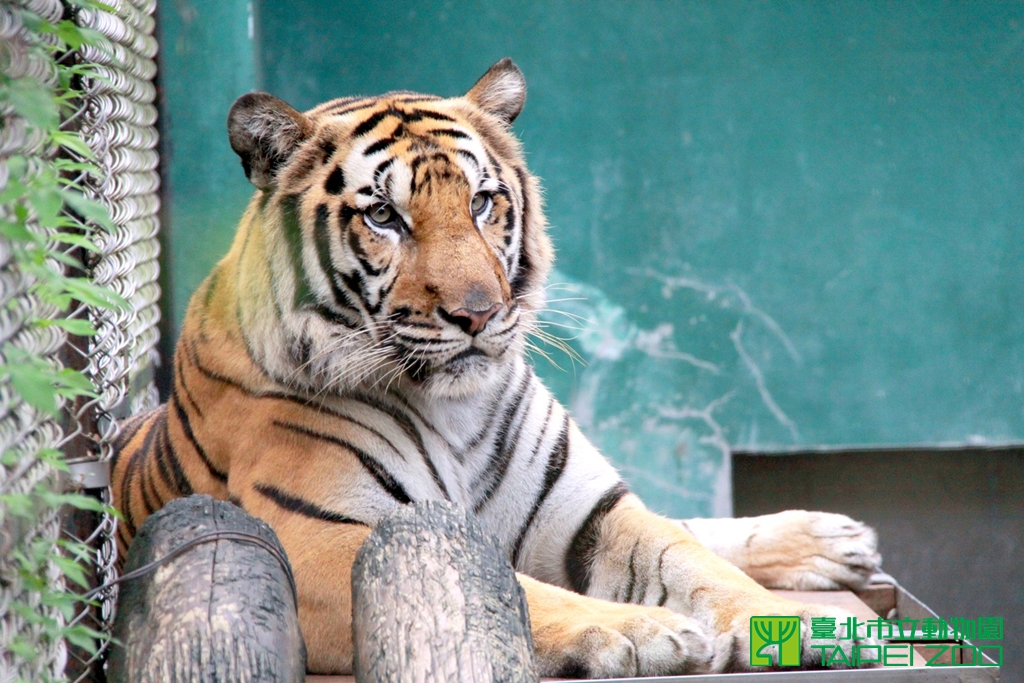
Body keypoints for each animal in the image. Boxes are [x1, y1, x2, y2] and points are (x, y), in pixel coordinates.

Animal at [112, 58, 882, 676]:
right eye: (384, 216)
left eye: (482, 202)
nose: (477, 314)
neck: (454, 408)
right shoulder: (310, 539)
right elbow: (516, 590)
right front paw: (644, 630)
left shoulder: (588, 511)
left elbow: (691, 561)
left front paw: (810, 623)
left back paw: (833, 544)